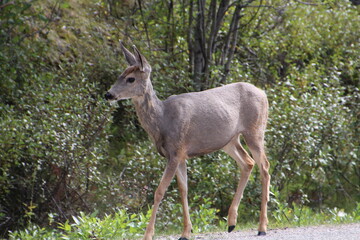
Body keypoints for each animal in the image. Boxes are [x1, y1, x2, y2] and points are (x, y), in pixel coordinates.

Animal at [105, 43, 272, 240]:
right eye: (120, 74)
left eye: (130, 79)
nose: (108, 94)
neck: (163, 120)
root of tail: (263, 93)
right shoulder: (181, 155)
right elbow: (183, 190)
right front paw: (186, 232)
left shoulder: (176, 152)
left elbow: (159, 191)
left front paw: (148, 234)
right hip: (229, 141)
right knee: (248, 163)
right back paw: (231, 222)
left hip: (255, 130)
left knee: (264, 166)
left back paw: (262, 227)